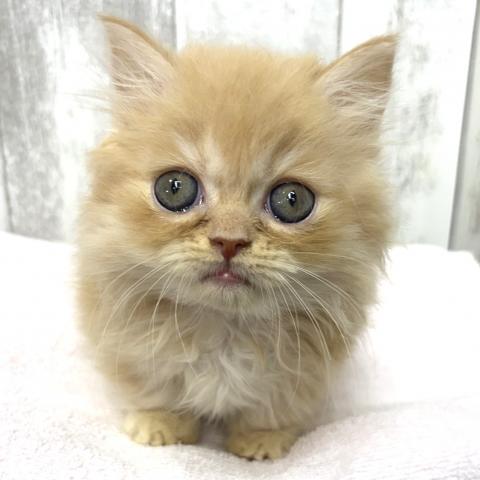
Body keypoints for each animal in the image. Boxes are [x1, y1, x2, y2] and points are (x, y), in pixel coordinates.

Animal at [76, 15, 395, 460]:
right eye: (174, 188)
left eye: (292, 200)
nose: (229, 241)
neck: (224, 329)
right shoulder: (129, 344)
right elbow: (154, 389)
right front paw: (160, 425)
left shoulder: (303, 372)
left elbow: (270, 409)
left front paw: (260, 441)